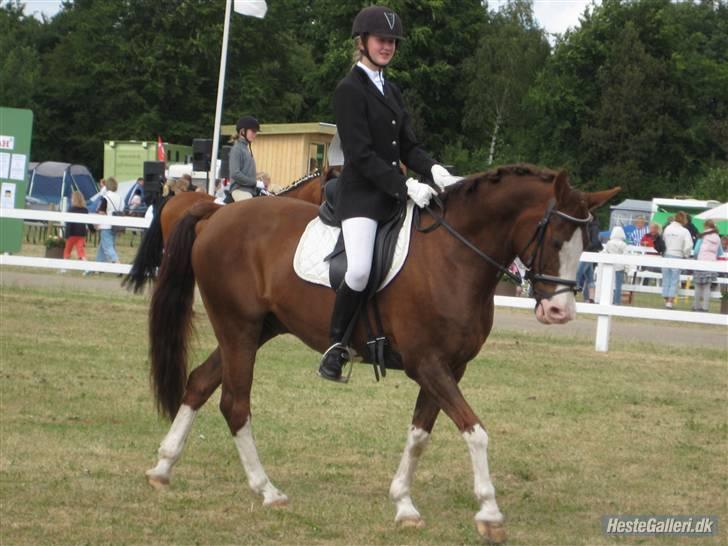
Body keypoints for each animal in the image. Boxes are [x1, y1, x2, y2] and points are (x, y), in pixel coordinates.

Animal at [145, 165, 616, 540]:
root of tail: (218, 213)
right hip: (238, 328)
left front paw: (404, 504)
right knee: (235, 403)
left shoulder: (450, 368)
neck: (453, 256)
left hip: (254, 330)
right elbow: (475, 431)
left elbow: (420, 434)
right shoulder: (428, 364)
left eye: (587, 242)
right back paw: (267, 490)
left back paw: (163, 468)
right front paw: (489, 511)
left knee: (200, 383)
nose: (559, 312)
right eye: (554, 238)